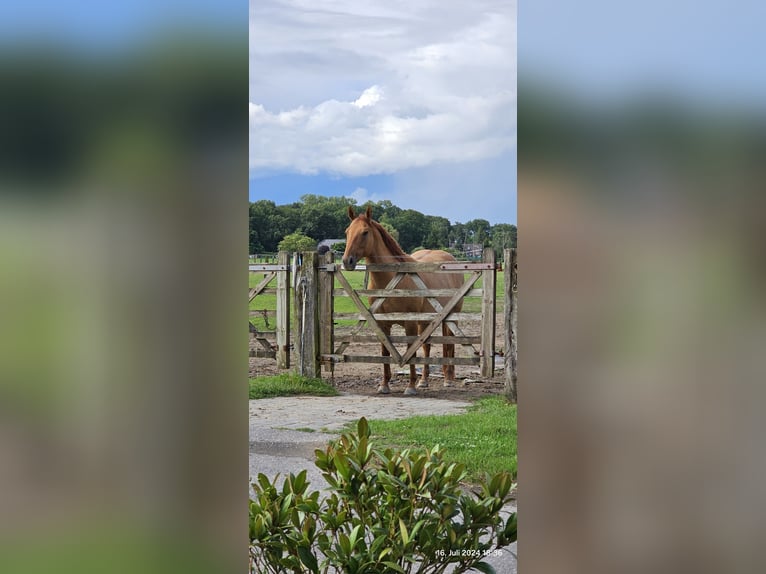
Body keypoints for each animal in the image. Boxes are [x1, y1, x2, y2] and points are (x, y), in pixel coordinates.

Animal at [341, 205, 463, 395]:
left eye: (365, 232)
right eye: (347, 232)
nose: (347, 261)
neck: (394, 280)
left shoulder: (410, 323)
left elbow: (410, 352)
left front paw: (410, 386)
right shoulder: (382, 323)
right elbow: (385, 352)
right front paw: (384, 385)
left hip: (451, 317)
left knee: (449, 344)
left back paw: (448, 379)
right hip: (426, 320)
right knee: (427, 347)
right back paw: (424, 380)